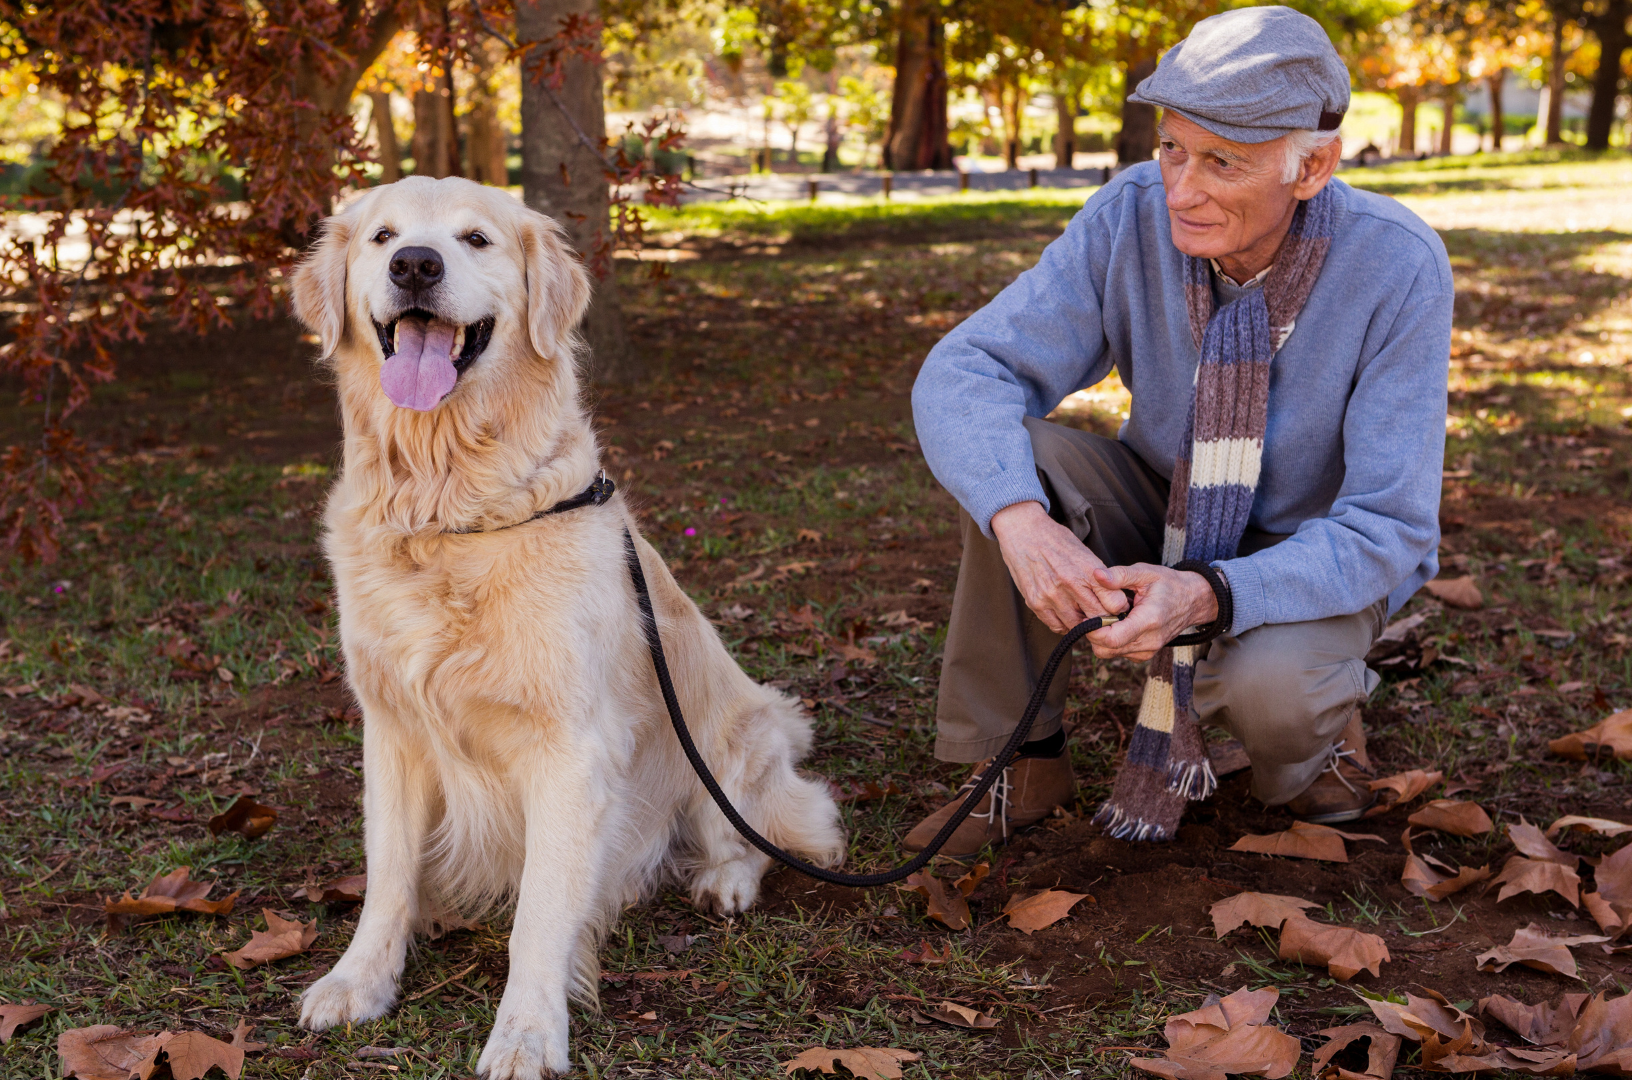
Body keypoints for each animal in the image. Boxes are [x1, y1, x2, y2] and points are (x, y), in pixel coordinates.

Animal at [290, 177, 842, 1076]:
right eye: (383, 238)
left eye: (476, 239)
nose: (416, 266)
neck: (448, 509)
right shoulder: (393, 730)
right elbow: (389, 876)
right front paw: (360, 979)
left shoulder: (570, 749)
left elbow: (540, 915)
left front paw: (526, 1031)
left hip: (730, 739)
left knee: (764, 827)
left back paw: (726, 879)